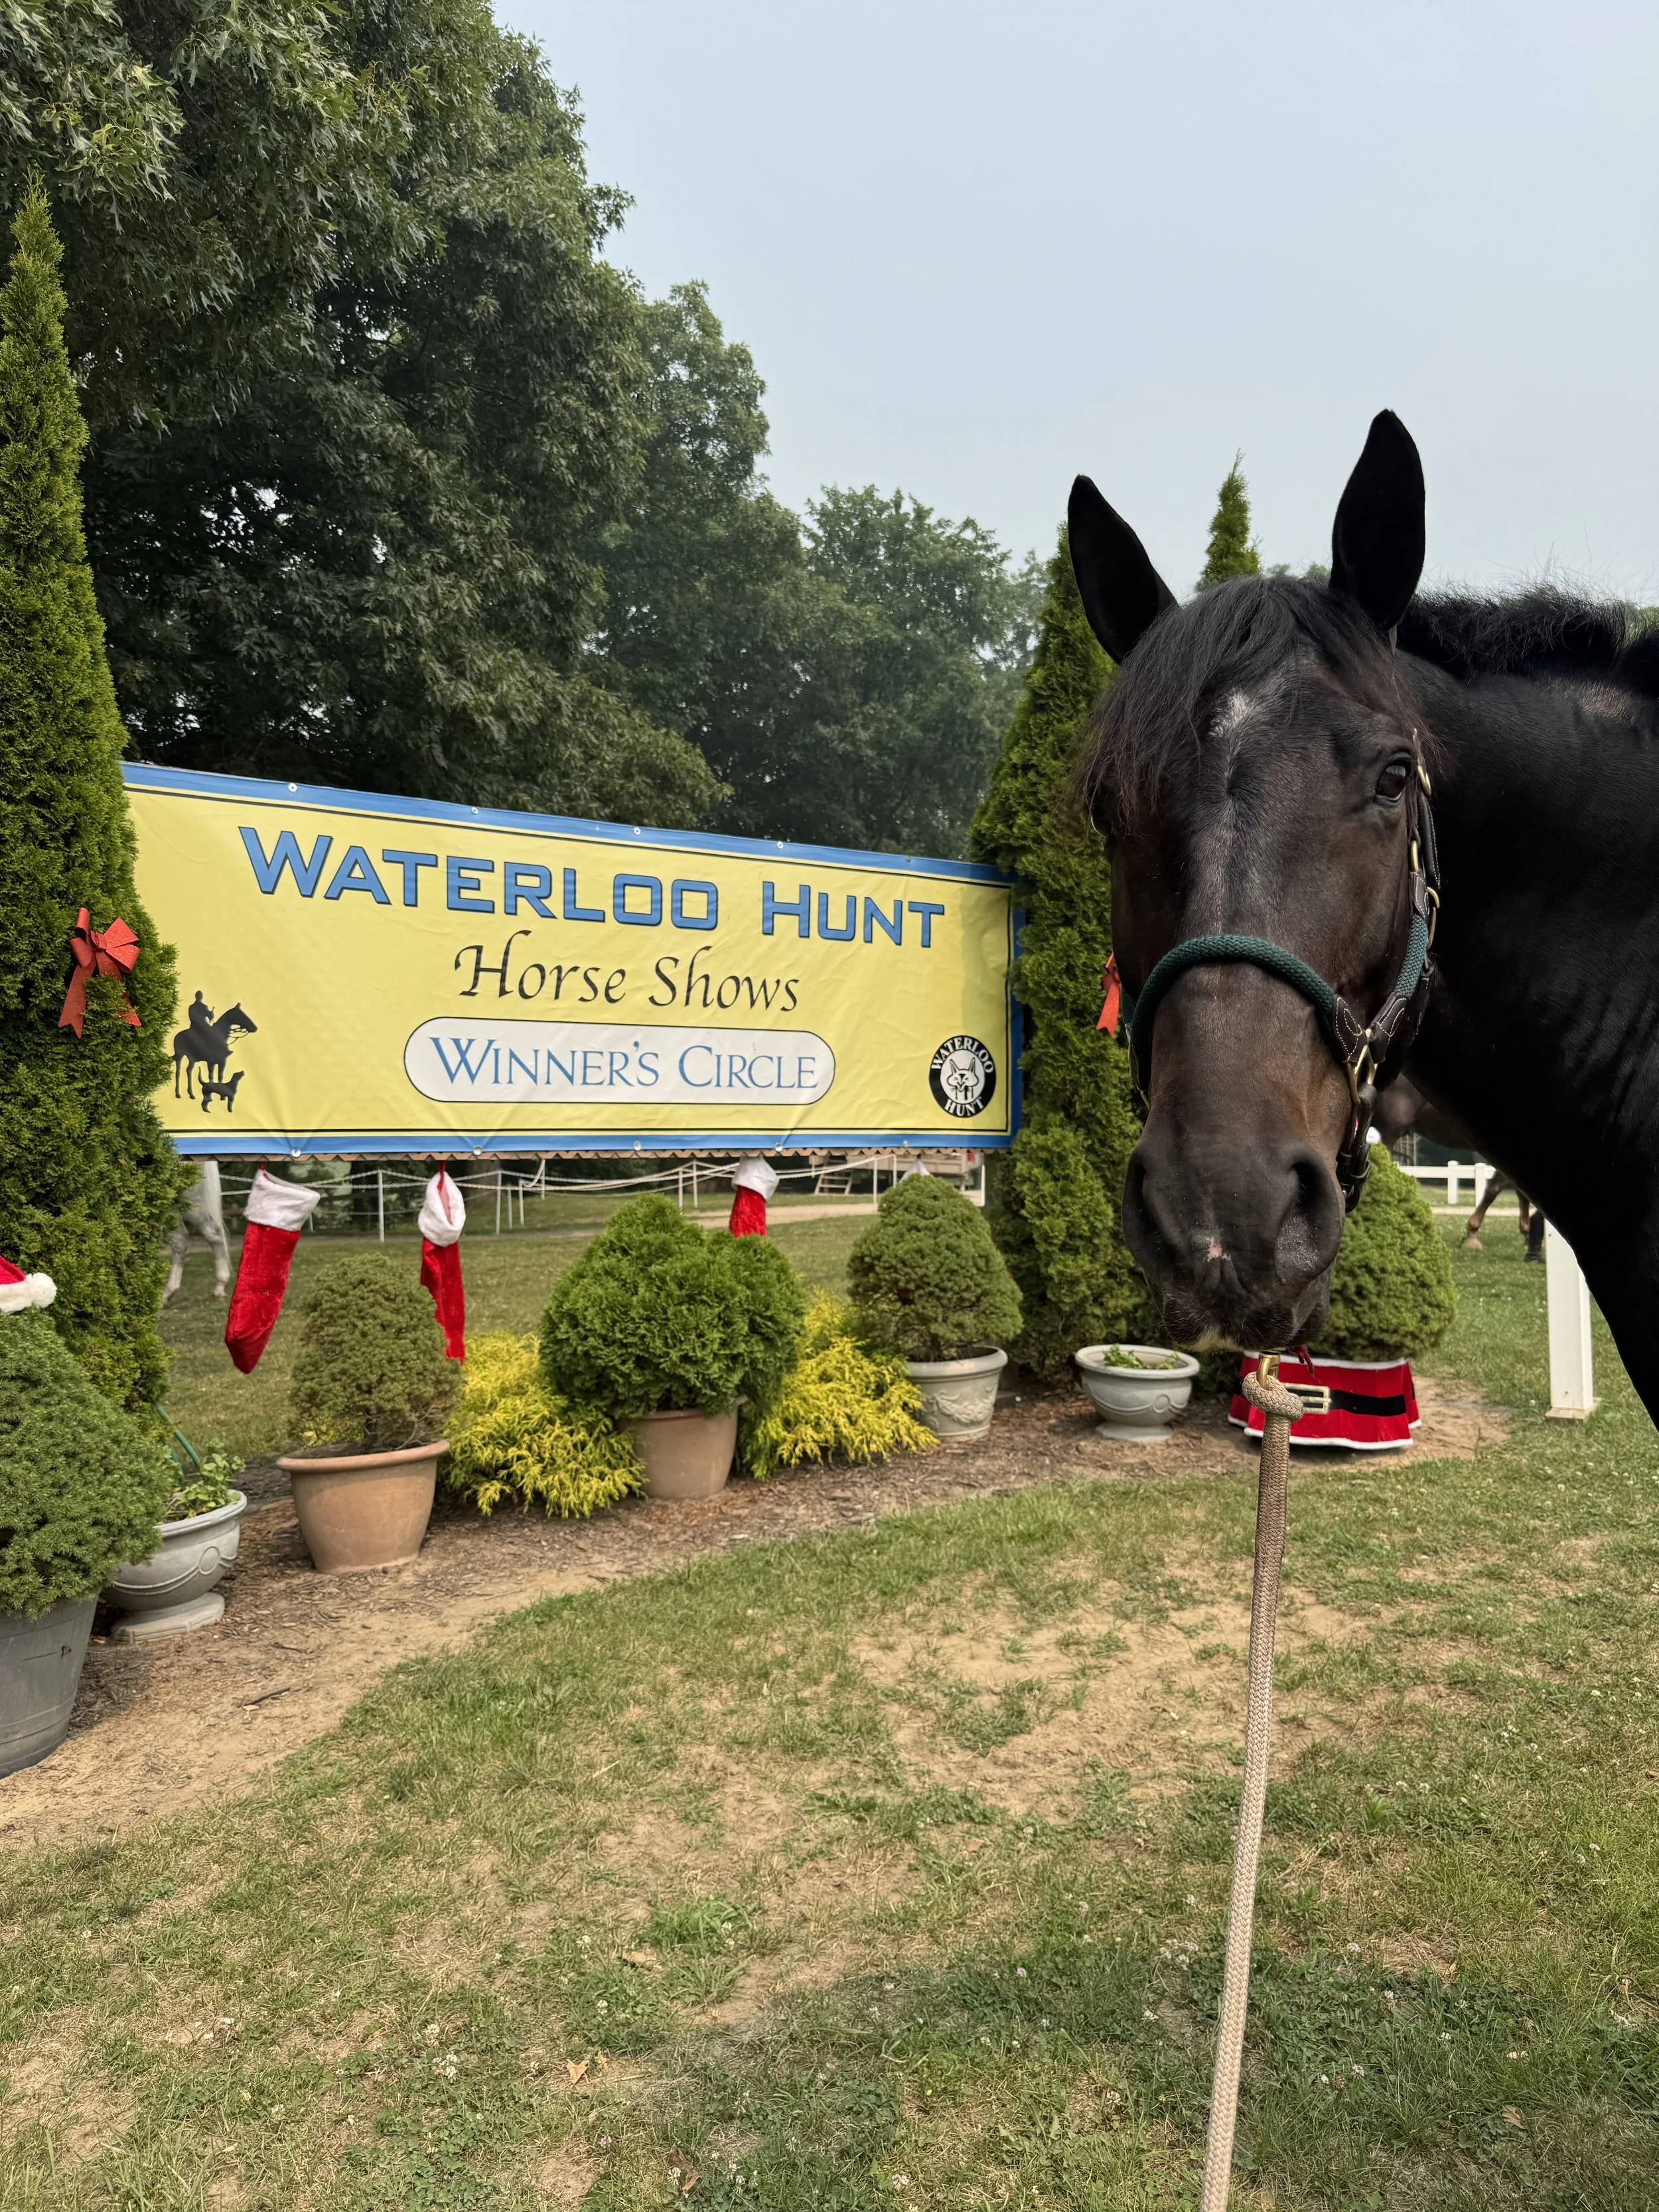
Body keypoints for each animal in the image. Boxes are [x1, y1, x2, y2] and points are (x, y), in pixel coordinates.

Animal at [173, 1003, 257, 1098]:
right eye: (241, 1015)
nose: (255, 1028)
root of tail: (177, 1036)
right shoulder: (210, 1062)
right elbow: (211, 1076)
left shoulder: (222, 1061)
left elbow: (220, 1076)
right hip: (180, 1055)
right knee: (178, 1072)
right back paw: (178, 1094)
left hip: (192, 1059)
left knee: (189, 1070)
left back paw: (191, 1094)